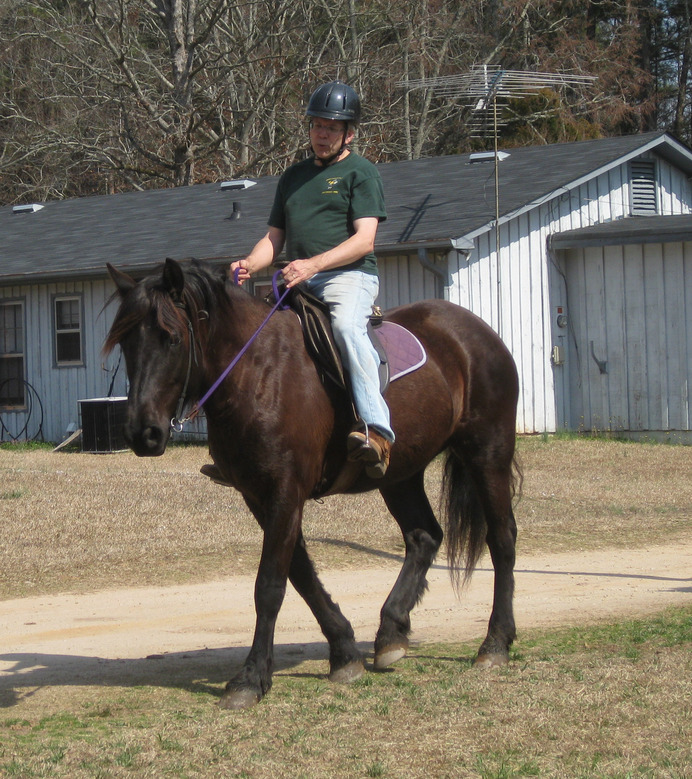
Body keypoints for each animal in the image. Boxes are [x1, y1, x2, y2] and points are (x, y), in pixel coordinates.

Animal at [104, 257, 520, 710]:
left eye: (173, 338)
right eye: (125, 343)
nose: (142, 434)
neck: (256, 371)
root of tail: (474, 330)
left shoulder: (286, 490)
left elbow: (270, 584)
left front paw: (250, 678)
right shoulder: (258, 495)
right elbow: (301, 575)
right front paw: (344, 654)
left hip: (487, 453)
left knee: (501, 538)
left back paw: (495, 643)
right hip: (400, 472)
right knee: (424, 536)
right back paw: (391, 633)